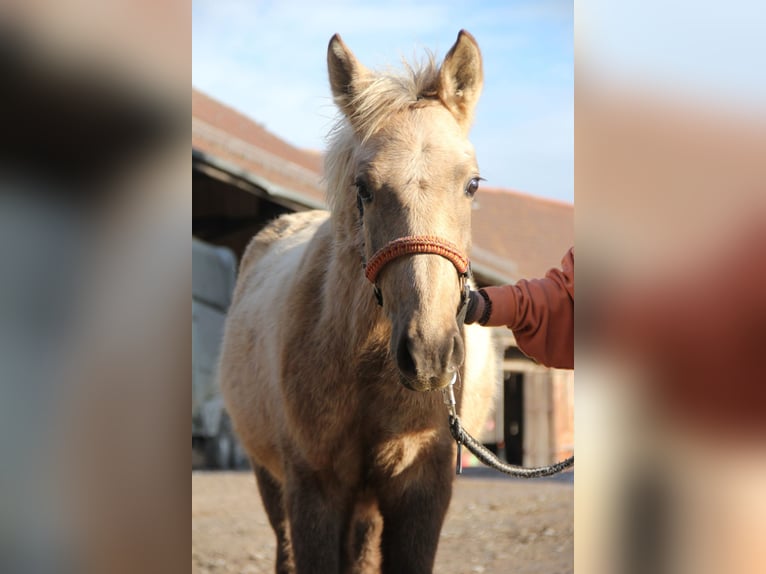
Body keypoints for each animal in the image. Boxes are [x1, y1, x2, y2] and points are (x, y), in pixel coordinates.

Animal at [219, 31, 500, 574]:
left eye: (472, 184)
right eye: (363, 188)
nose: (429, 353)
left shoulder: (422, 493)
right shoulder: (314, 490)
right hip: (270, 478)